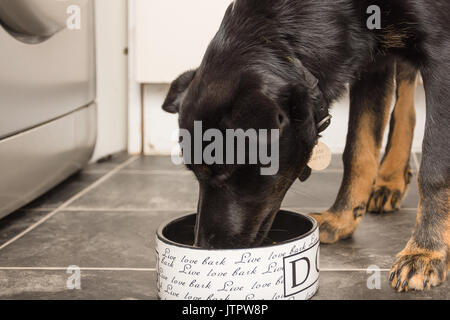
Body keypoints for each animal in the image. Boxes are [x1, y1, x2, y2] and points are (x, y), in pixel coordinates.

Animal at [162, 0, 450, 292]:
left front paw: (425, 252)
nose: (203, 246)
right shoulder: (372, 62)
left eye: (226, 171)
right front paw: (341, 219)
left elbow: (434, 169)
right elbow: (358, 150)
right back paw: (390, 180)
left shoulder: (441, 52)